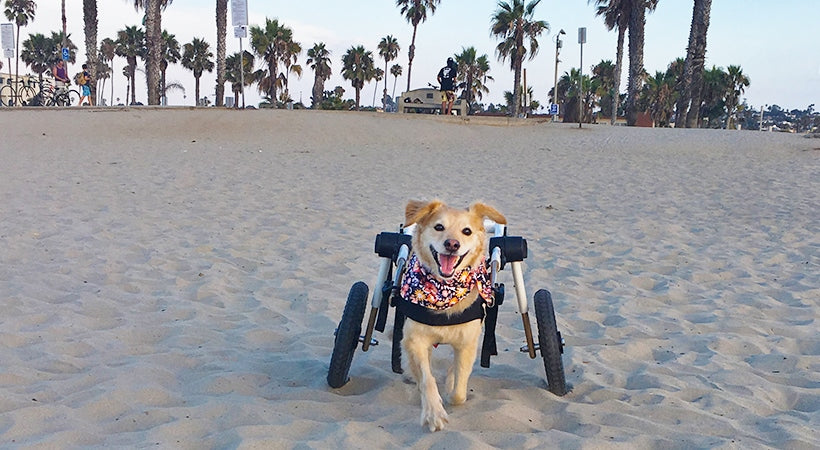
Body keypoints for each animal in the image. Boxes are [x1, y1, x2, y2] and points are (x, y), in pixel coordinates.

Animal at [398, 200, 502, 432]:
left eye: (467, 231)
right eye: (439, 227)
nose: (452, 244)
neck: (444, 290)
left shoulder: (467, 343)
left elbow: (459, 390)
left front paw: (451, 385)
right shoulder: (415, 340)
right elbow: (427, 379)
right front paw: (434, 413)